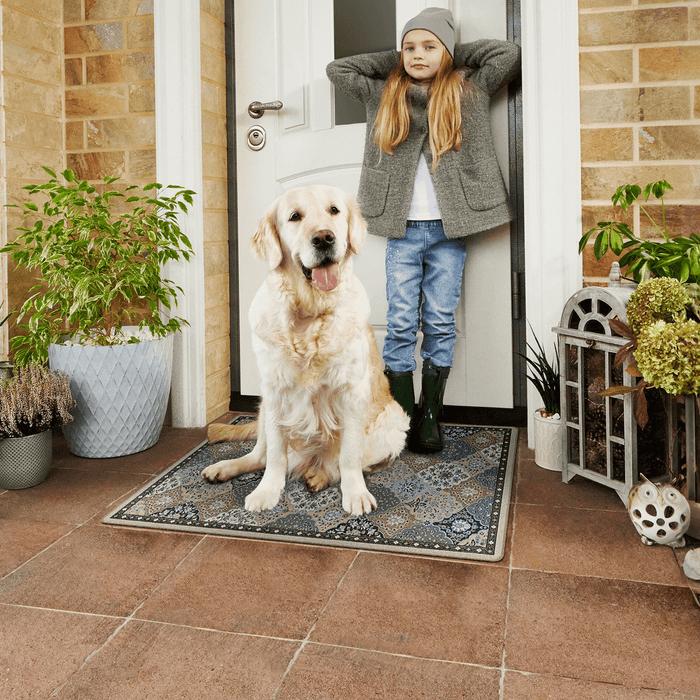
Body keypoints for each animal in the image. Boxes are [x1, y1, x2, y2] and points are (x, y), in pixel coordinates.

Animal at [202, 185, 408, 516]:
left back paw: (319, 475)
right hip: (262, 410)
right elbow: (275, 456)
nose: (324, 238)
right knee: (259, 455)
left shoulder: (352, 393)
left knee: (341, 462)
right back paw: (224, 468)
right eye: (295, 216)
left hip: (394, 423)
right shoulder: (274, 393)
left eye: (334, 210)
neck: (309, 317)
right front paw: (267, 492)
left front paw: (355, 494)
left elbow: (349, 455)